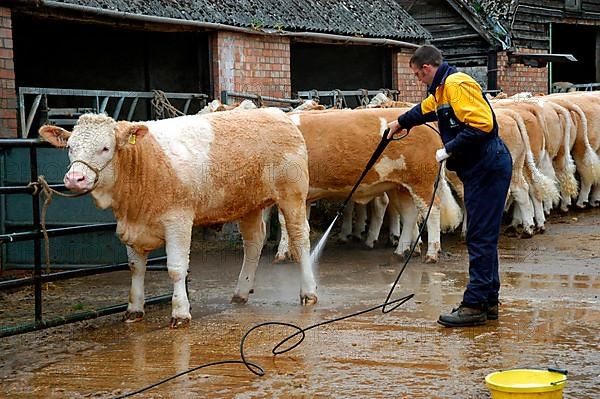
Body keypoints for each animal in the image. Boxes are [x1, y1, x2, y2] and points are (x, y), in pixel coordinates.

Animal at [39, 108, 316, 328]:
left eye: (105, 148)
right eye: (70, 147)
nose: (75, 178)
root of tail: (278, 114)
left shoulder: (178, 220)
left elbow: (175, 268)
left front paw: (180, 312)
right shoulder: (132, 225)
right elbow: (135, 267)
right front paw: (134, 310)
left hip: (292, 195)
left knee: (300, 238)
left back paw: (309, 292)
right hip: (248, 204)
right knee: (253, 243)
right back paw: (241, 292)